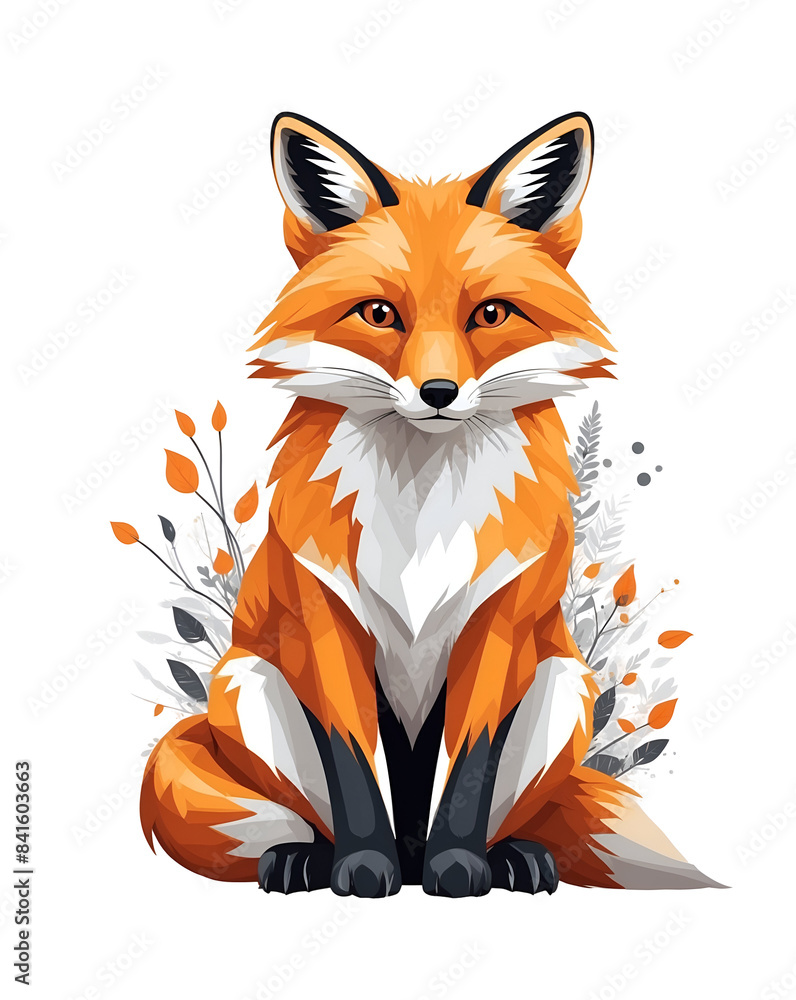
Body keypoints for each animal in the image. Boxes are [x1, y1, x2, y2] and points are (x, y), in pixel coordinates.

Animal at [140, 111, 720, 897]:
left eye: (491, 314)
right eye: (380, 314)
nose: (438, 393)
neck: (421, 512)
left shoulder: (499, 626)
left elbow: (471, 765)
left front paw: (459, 864)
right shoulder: (326, 628)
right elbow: (353, 765)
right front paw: (361, 864)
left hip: (564, 683)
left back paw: (497, 858)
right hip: (247, 681)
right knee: (318, 813)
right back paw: (315, 858)